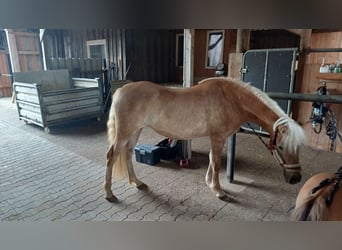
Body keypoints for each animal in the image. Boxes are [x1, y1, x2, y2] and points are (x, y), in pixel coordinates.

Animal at [103, 77, 306, 202]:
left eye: (298, 148)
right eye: (280, 146)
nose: (295, 178)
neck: (231, 99)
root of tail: (121, 91)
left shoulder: (216, 138)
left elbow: (211, 160)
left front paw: (210, 184)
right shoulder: (218, 137)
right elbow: (216, 163)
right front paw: (218, 191)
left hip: (135, 131)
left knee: (128, 154)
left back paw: (137, 183)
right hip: (124, 133)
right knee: (112, 157)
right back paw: (109, 194)